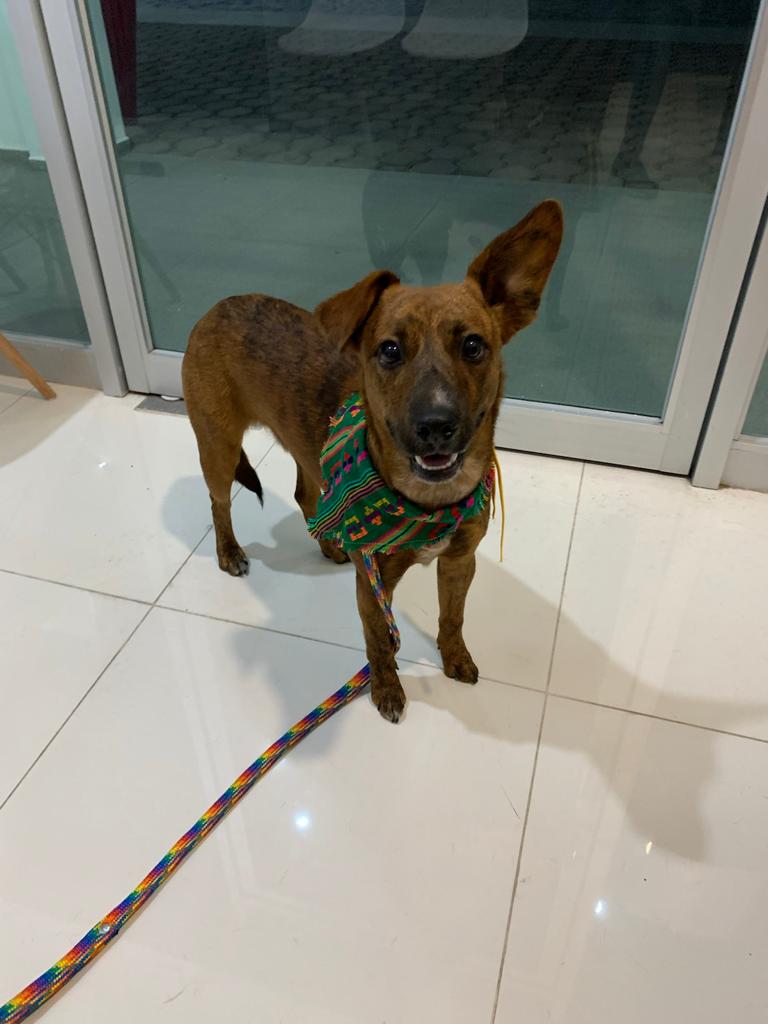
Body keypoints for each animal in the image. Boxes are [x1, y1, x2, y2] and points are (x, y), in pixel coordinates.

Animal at [182, 200, 563, 722]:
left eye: (473, 345)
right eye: (389, 350)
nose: (435, 424)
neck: (428, 502)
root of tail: (217, 306)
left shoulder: (460, 563)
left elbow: (453, 617)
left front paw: (455, 657)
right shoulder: (374, 583)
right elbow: (379, 639)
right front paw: (386, 688)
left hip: (309, 455)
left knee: (306, 496)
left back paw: (329, 545)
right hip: (218, 447)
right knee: (219, 503)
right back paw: (229, 553)